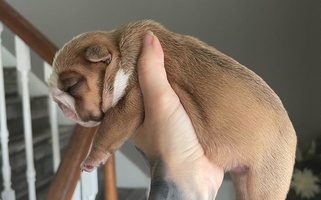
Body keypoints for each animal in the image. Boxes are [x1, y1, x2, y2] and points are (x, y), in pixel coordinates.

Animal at [47, 19, 296, 198]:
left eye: (72, 85)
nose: (58, 103)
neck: (119, 51)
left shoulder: (130, 102)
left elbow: (107, 132)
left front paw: (91, 160)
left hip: (265, 180)